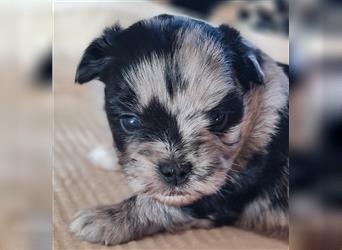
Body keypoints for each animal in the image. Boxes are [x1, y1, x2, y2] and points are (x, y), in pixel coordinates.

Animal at [70, 14, 288, 245]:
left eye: (219, 118)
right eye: (130, 122)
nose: (175, 171)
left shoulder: (224, 192)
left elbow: (157, 204)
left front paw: (106, 218)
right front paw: (107, 155)